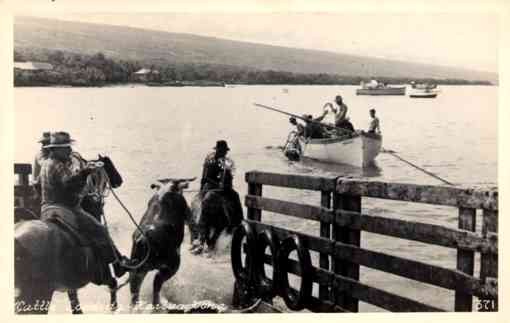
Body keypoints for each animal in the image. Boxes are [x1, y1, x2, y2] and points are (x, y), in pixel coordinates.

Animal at [14, 156, 122, 316]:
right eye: (109, 164)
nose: (119, 180)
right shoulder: (102, 275)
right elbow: (113, 284)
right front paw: (113, 307)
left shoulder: (71, 281)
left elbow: (74, 299)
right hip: (38, 293)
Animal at [128, 177, 194, 312]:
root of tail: (144, 239)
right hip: (170, 267)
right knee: (156, 285)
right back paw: (158, 306)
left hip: (138, 270)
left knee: (135, 291)